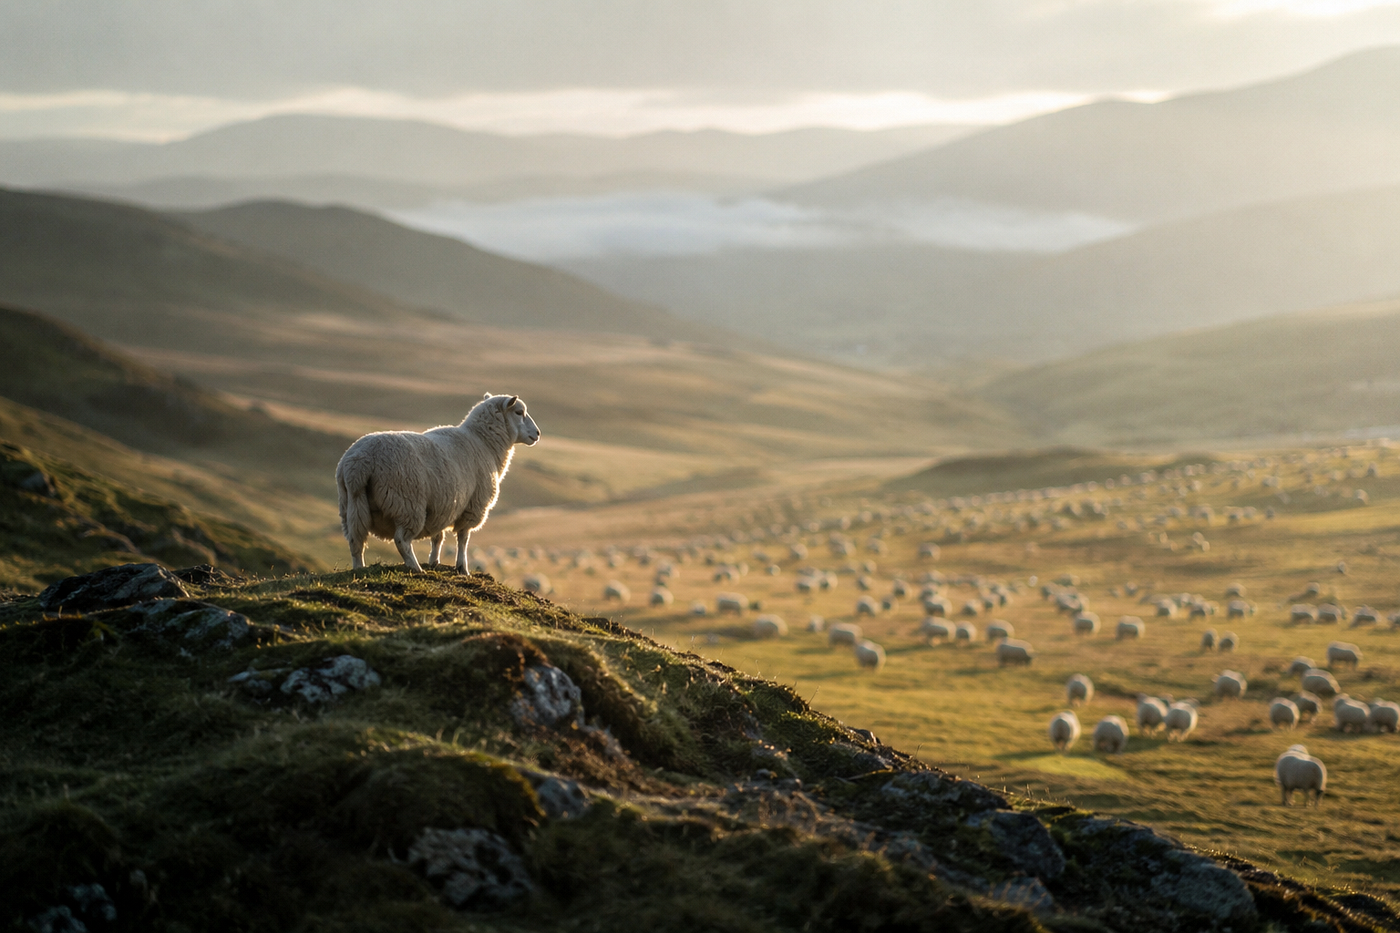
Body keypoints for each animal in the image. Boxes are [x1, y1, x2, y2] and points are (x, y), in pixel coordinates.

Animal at [337, 393, 540, 572]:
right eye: (519, 412)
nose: (537, 434)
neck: (484, 443)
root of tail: (359, 463)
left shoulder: (442, 505)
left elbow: (438, 537)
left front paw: (434, 561)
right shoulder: (472, 506)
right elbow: (463, 539)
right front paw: (462, 568)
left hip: (351, 504)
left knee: (355, 540)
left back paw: (359, 569)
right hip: (407, 503)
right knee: (401, 540)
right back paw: (415, 568)